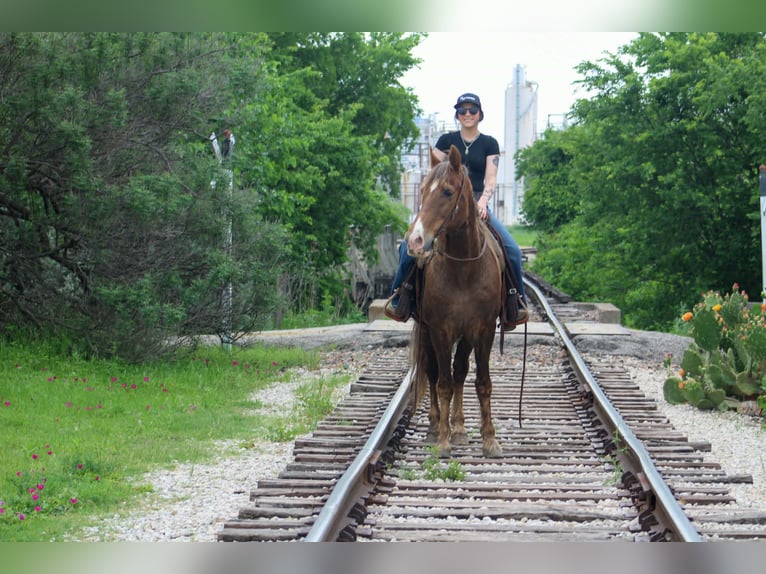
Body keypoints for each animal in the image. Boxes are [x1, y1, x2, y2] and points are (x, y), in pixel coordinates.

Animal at [406, 144, 505, 458]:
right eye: (422, 190)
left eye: (448, 192)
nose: (415, 241)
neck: (463, 269)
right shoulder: (439, 329)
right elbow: (443, 383)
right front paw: (442, 440)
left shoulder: (483, 329)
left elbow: (481, 382)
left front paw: (489, 440)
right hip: (427, 331)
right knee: (433, 372)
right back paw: (435, 426)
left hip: (467, 335)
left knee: (459, 370)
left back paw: (460, 428)